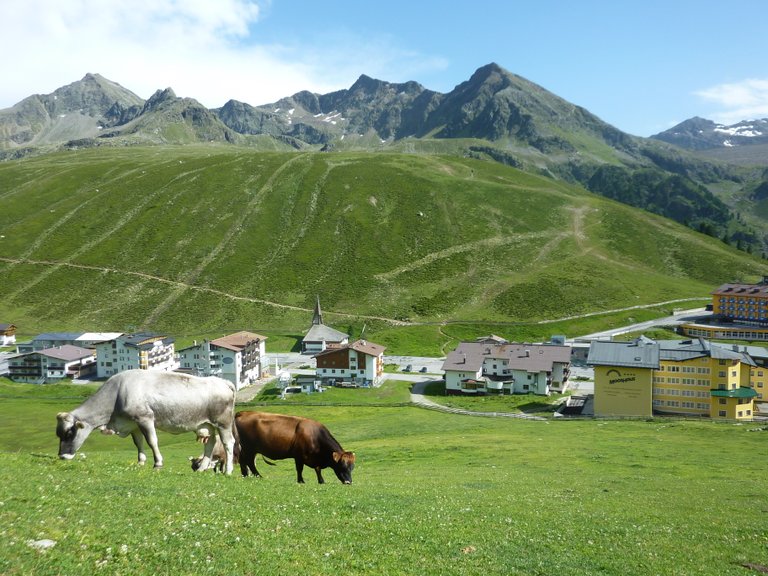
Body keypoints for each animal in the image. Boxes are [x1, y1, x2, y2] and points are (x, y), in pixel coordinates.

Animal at [56, 372, 237, 474]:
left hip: (223, 423)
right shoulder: (133, 424)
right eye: (58, 434)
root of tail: (223, 382)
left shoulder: (145, 418)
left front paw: (157, 463)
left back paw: (228, 470)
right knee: (210, 444)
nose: (62, 456)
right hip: (207, 425)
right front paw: (140, 462)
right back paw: (201, 468)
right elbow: (139, 443)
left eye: (69, 432)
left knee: (228, 443)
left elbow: (152, 441)